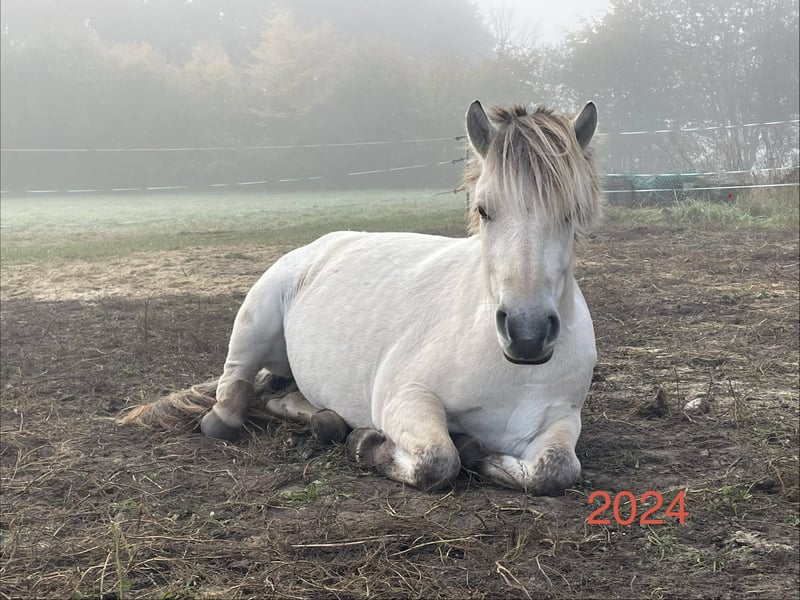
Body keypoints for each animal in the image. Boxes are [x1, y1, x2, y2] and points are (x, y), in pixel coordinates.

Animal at [122, 100, 603, 494]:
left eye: (570, 213)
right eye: (483, 210)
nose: (527, 333)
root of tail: (320, 245)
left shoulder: (559, 419)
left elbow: (557, 470)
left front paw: (477, 451)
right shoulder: (406, 398)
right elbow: (438, 460)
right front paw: (369, 443)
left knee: (281, 398)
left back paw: (327, 421)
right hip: (253, 323)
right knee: (232, 397)